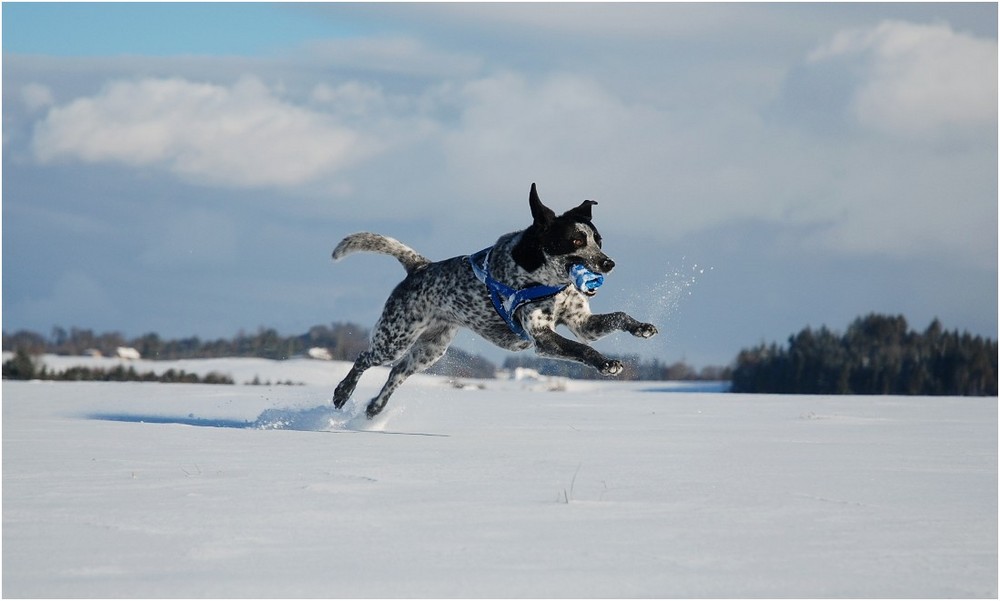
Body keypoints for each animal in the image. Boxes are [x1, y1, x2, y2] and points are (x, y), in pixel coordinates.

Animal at [332, 183, 660, 418]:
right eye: (577, 240)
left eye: (599, 241)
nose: (609, 263)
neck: (548, 281)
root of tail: (421, 266)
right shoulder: (543, 336)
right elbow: (583, 349)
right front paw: (606, 363)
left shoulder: (583, 323)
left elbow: (619, 316)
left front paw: (641, 327)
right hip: (394, 338)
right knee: (364, 358)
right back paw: (342, 391)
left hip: (430, 350)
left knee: (396, 373)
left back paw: (375, 407)